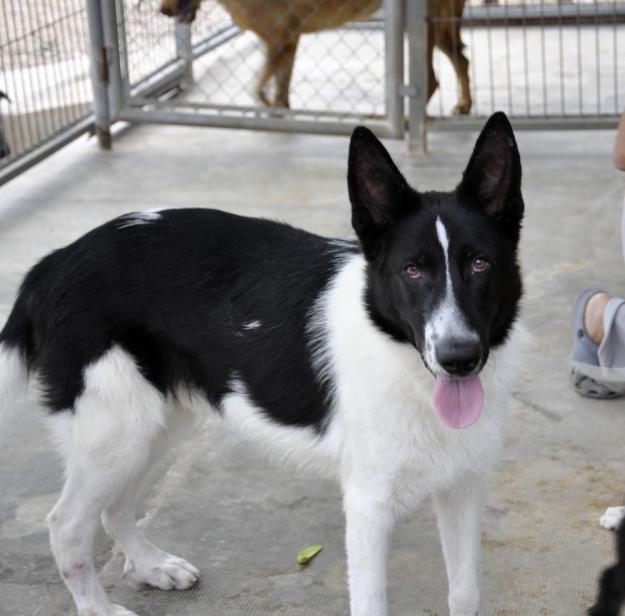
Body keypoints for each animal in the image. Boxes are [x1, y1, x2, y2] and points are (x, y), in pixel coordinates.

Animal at [0, 112, 524, 616]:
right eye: (412, 270)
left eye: (479, 264)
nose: (459, 358)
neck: (404, 363)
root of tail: (55, 261)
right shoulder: (369, 506)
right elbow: (372, 603)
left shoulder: (462, 488)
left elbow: (466, 594)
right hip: (115, 429)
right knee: (67, 524)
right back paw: (98, 607)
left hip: (153, 421)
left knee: (114, 507)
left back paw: (151, 566)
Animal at [160, 0, 468, 114]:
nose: (163, 11)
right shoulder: (287, 41)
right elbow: (281, 83)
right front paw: (281, 111)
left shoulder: (278, 41)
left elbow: (259, 85)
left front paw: (268, 106)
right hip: (439, 28)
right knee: (460, 60)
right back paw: (465, 105)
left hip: (422, 27)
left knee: (431, 80)